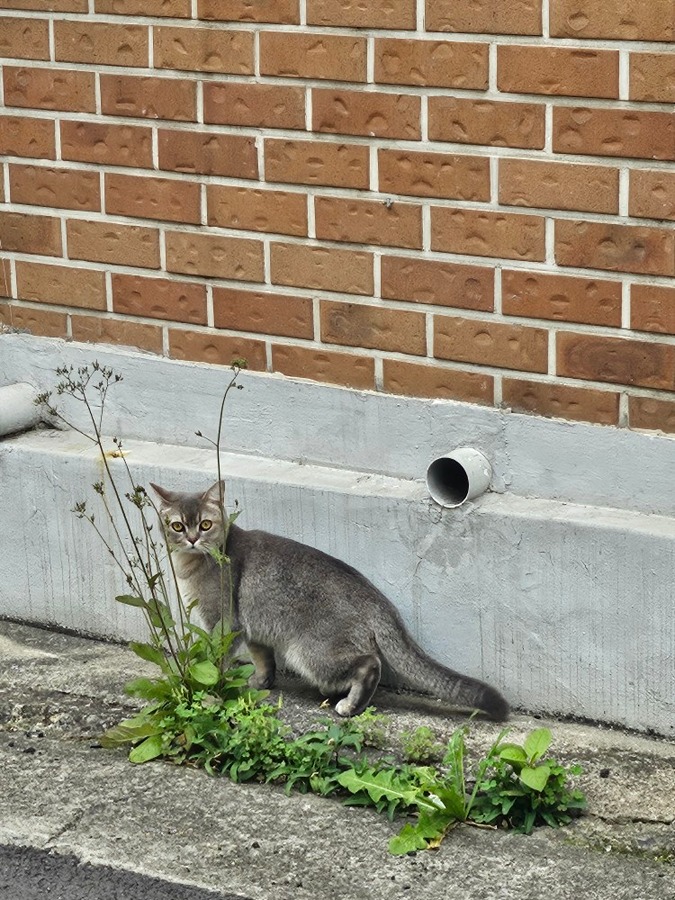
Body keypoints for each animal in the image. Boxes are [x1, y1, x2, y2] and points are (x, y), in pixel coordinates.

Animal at [148, 482, 508, 720]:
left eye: (205, 524)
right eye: (177, 525)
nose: (191, 539)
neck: (190, 565)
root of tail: (376, 599)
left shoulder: (224, 623)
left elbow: (216, 662)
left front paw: (212, 692)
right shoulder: (253, 628)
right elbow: (263, 658)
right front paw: (261, 682)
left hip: (308, 652)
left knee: (369, 663)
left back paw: (349, 705)